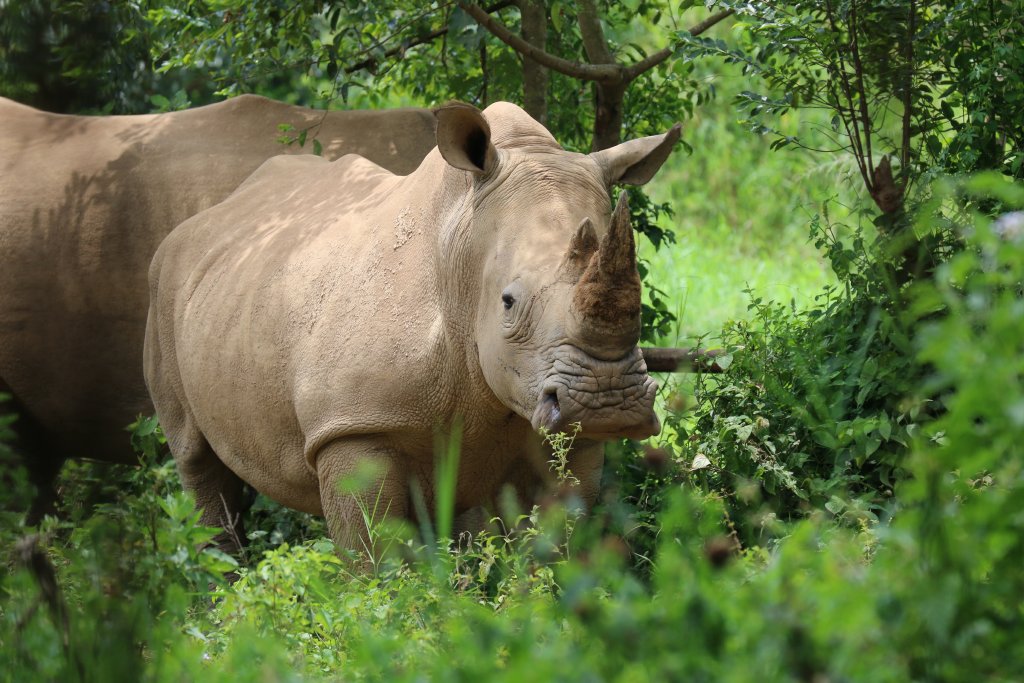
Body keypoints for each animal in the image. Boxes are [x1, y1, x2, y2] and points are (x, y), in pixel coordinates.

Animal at [144, 101, 680, 552]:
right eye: (507, 303)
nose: (607, 402)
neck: (459, 256)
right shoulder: (351, 426)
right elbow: (375, 559)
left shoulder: (569, 433)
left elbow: (559, 542)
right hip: (162, 286)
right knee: (195, 459)